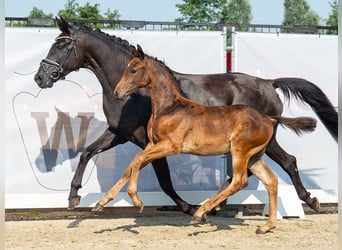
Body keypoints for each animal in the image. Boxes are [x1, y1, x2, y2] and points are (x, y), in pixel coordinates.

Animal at [34, 16, 336, 214]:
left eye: (60, 46)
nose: (40, 77)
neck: (137, 93)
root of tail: (269, 83)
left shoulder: (147, 142)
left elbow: (164, 180)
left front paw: (188, 207)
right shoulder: (119, 134)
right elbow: (87, 152)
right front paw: (74, 196)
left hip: (263, 140)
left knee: (286, 162)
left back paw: (307, 201)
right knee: (270, 166)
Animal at [95, 44, 316, 233]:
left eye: (133, 70)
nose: (117, 92)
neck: (169, 108)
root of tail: (268, 117)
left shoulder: (171, 146)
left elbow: (137, 160)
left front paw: (136, 201)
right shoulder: (152, 144)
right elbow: (131, 166)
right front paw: (101, 203)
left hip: (240, 152)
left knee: (240, 181)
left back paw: (202, 212)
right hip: (254, 157)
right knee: (271, 180)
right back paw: (266, 226)